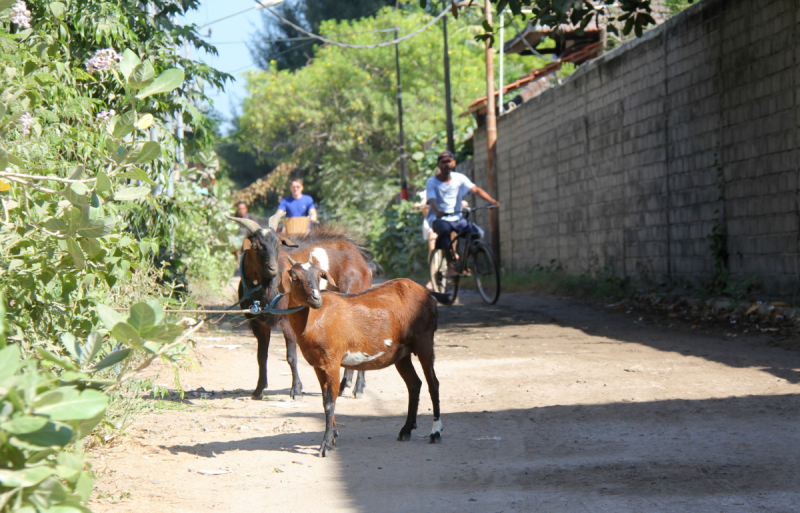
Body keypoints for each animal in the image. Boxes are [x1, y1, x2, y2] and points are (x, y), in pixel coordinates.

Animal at [227, 213, 380, 400]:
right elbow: (261, 356)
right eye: (256, 245)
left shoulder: (286, 319)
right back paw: (345, 385)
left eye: (278, 244)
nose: (273, 269)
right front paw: (258, 390)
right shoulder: (258, 323)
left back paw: (358, 388)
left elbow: (291, 356)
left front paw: (297, 390)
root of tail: (362, 259)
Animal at [280, 256, 444, 456]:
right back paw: (406, 430)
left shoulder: (332, 362)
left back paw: (435, 433)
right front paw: (333, 436)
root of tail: (429, 295)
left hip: (424, 341)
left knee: (433, 383)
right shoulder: (319, 365)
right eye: (295, 277)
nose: (316, 299)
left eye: (319, 275)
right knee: (414, 384)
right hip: (402, 353)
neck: (314, 319)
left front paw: (326, 445)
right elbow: (325, 400)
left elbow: (330, 402)